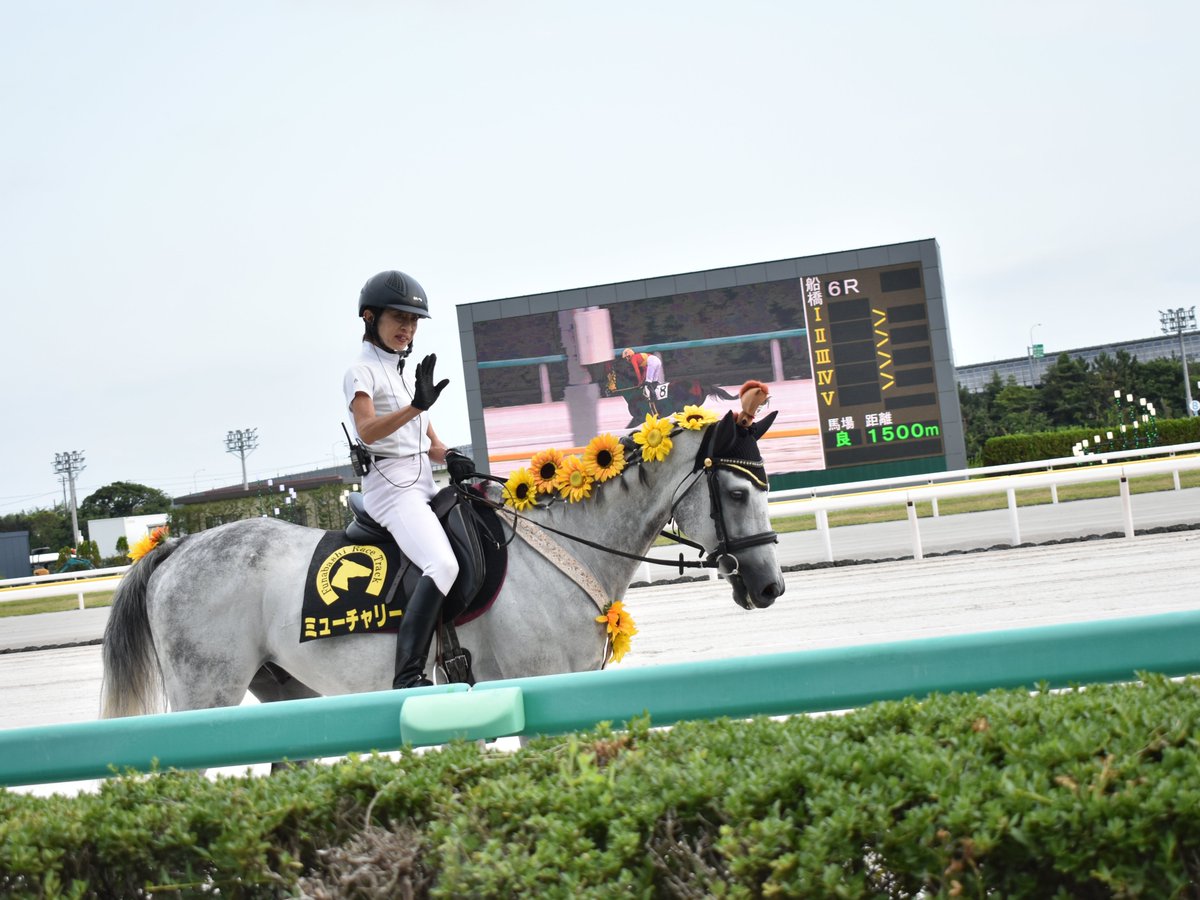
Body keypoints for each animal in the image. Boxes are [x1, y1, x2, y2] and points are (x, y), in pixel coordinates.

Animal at [100, 406, 786, 718]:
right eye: (736, 492)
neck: (561, 549)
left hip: (281, 688)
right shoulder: (539, 680)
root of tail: (176, 546)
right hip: (206, 692)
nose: (770, 587)